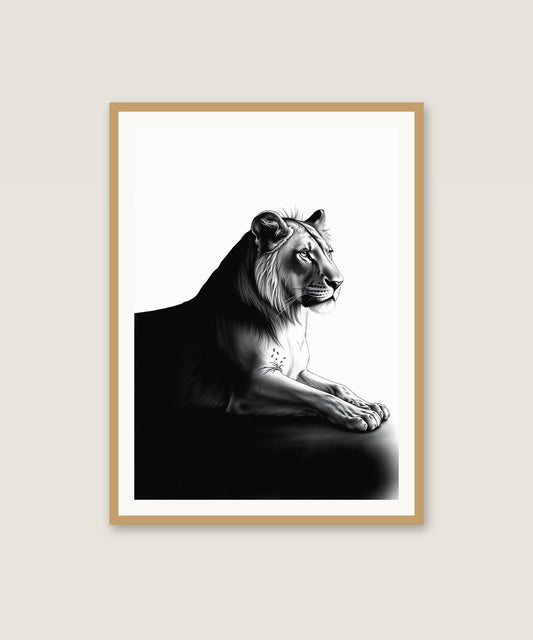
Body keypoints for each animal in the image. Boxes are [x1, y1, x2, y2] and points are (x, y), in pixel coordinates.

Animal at [135, 209, 389, 432]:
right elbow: (316, 395)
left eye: (330, 252)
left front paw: (368, 404)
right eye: (305, 254)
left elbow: (335, 386)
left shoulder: (296, 371)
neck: (288, 319)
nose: (339, 282)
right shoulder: (250, 384)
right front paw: (358, 414)